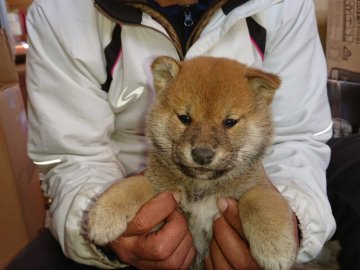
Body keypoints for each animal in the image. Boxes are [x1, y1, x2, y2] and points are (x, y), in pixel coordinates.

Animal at [87, 56, 298, 268]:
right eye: (185, 118)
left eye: (229, 122)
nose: (202, 155)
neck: (201, 187)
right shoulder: (161, 190)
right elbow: (135, 183)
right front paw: (105, 214)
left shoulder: (257, 186)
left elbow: (259, 199)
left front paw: (275, 246)